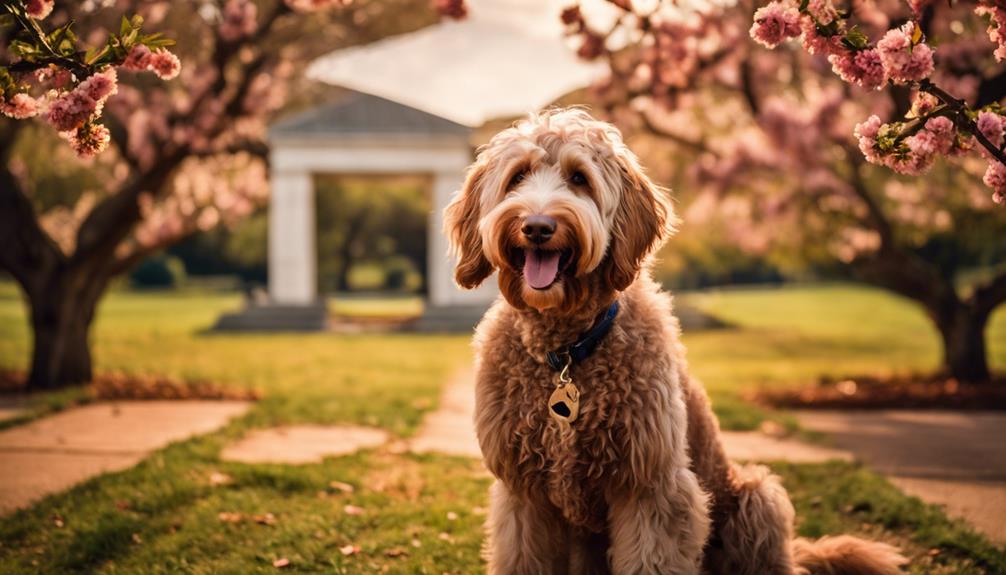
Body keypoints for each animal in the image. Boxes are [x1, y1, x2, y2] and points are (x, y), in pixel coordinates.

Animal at [444, 109, 909, 575]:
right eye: (518, 176)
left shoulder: (652, 487)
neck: (567, 349)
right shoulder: (524, 494)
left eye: (579, 178)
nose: (538, 226)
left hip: (756, 498)